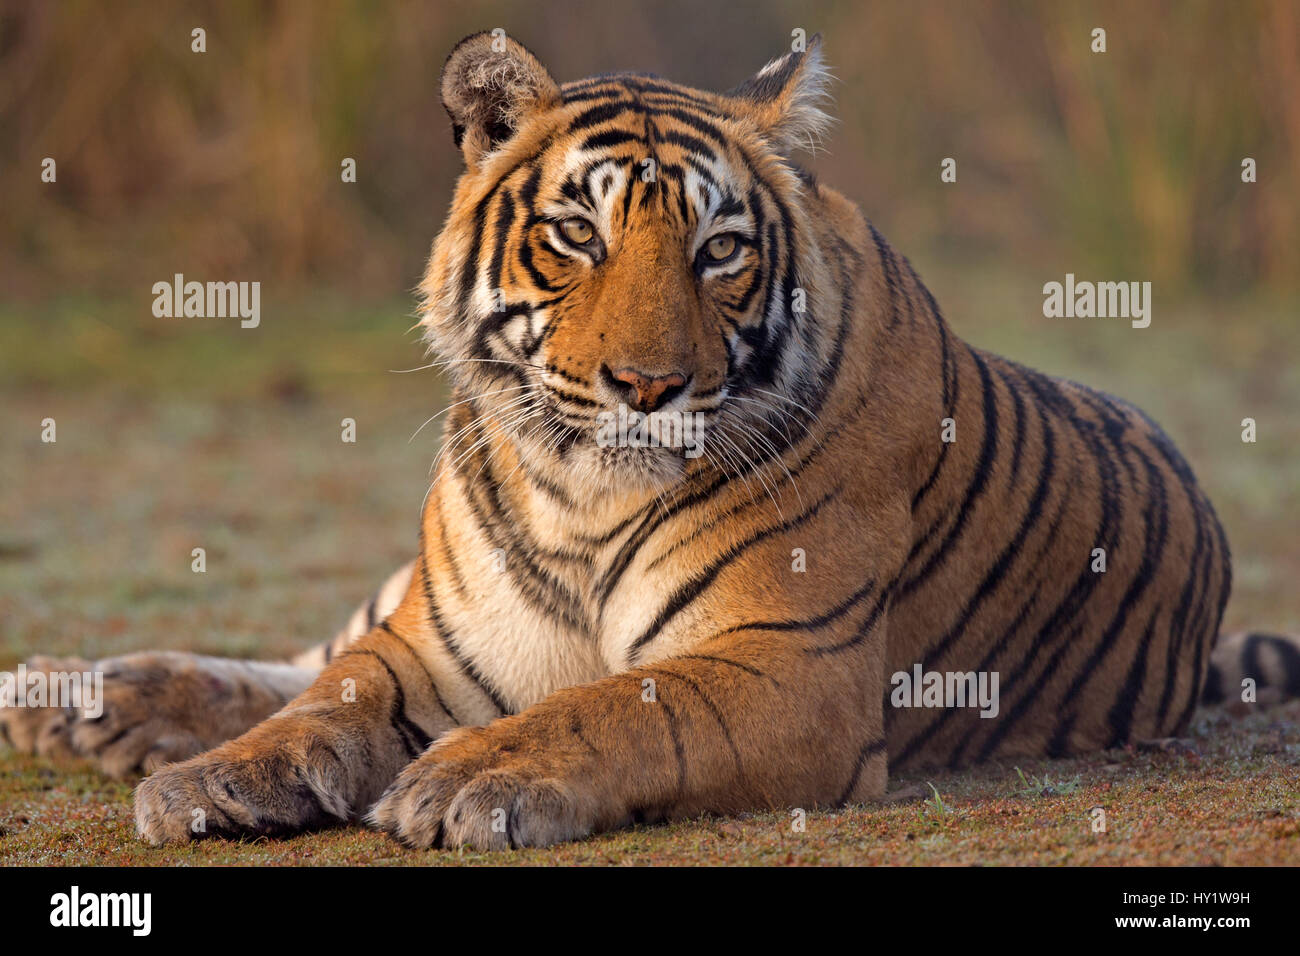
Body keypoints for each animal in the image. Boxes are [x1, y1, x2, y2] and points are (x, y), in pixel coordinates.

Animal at [2, 33, 1300, 848]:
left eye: (719, 251)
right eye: (577, 232)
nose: (646, 384)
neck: (576, 497)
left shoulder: (785, 665)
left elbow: (619, 707)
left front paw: (470, 774)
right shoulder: (433, 640)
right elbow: (330, 694)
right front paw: (220, 777)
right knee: (311, 647)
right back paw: (81, 696)